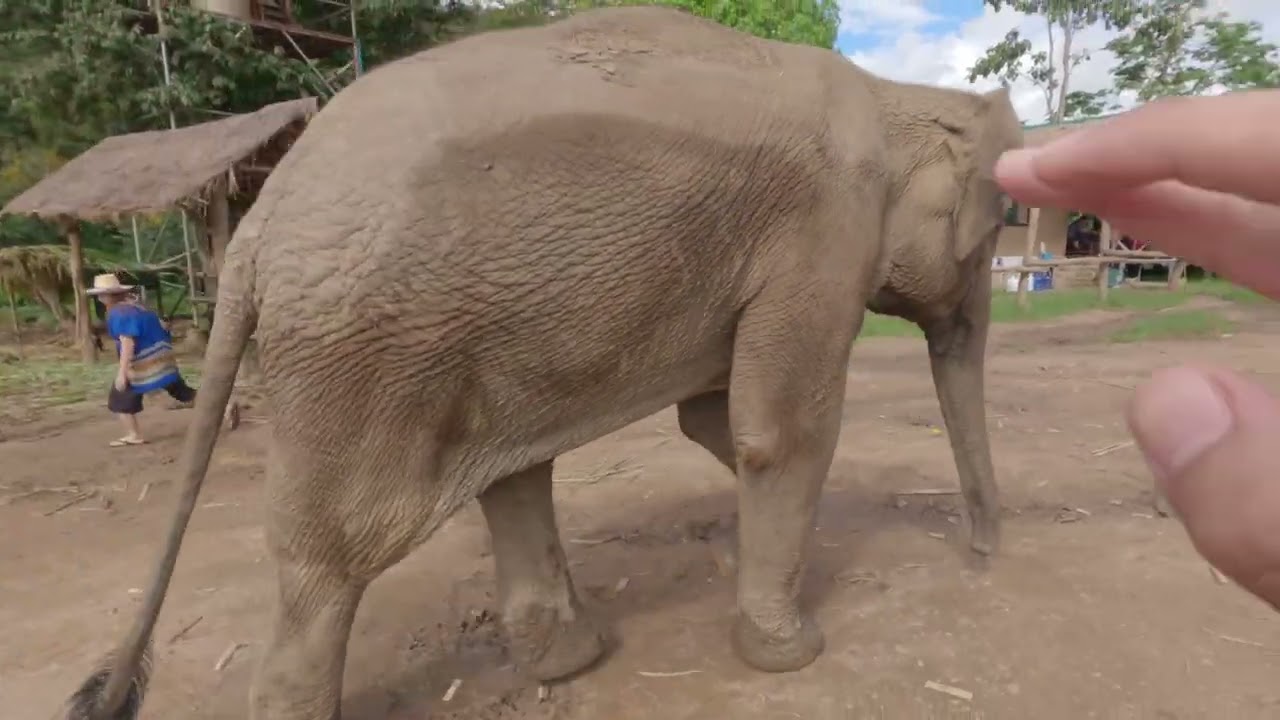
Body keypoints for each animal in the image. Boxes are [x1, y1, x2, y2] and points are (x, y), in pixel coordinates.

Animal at [64, 6, 1023, 720]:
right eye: (989, 241)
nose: (983, 553)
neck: (895, 95)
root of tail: (258, 225)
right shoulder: (821, 236)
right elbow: (776, 433)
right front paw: (791, 654)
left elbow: (714, 419)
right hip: (368, 352)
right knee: (334, 554)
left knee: (508, 472)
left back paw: (570, 661)